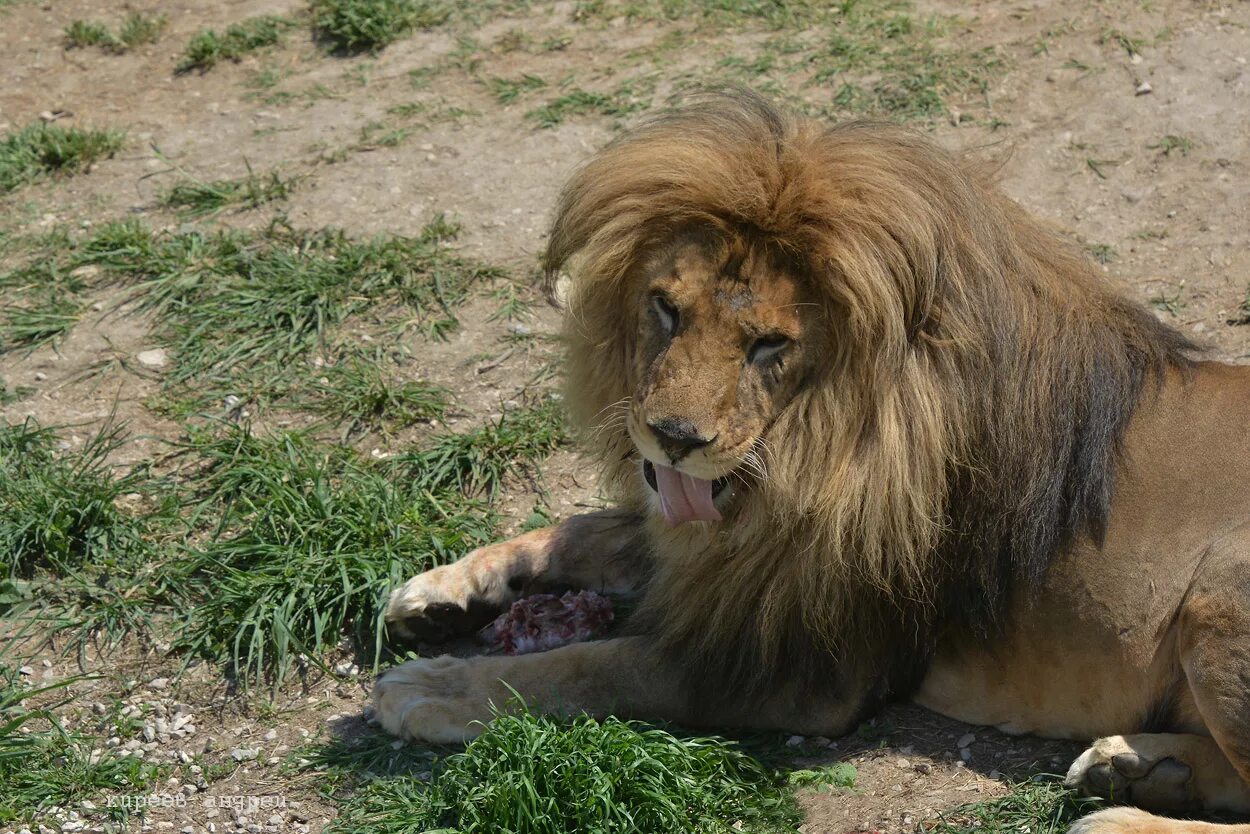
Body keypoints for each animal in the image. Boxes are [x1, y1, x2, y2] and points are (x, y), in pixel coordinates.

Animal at [370, 91, 1250, 834]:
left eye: (769, 345)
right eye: (665, 308)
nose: (672, 436)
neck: (805, 451)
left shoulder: (803, 665)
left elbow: (593, 667)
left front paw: (435, 687)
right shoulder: (733, 556)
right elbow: (582, 531)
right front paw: (442, 592)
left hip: (1218, 596)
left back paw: (1121, 812)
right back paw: (1140, 768)